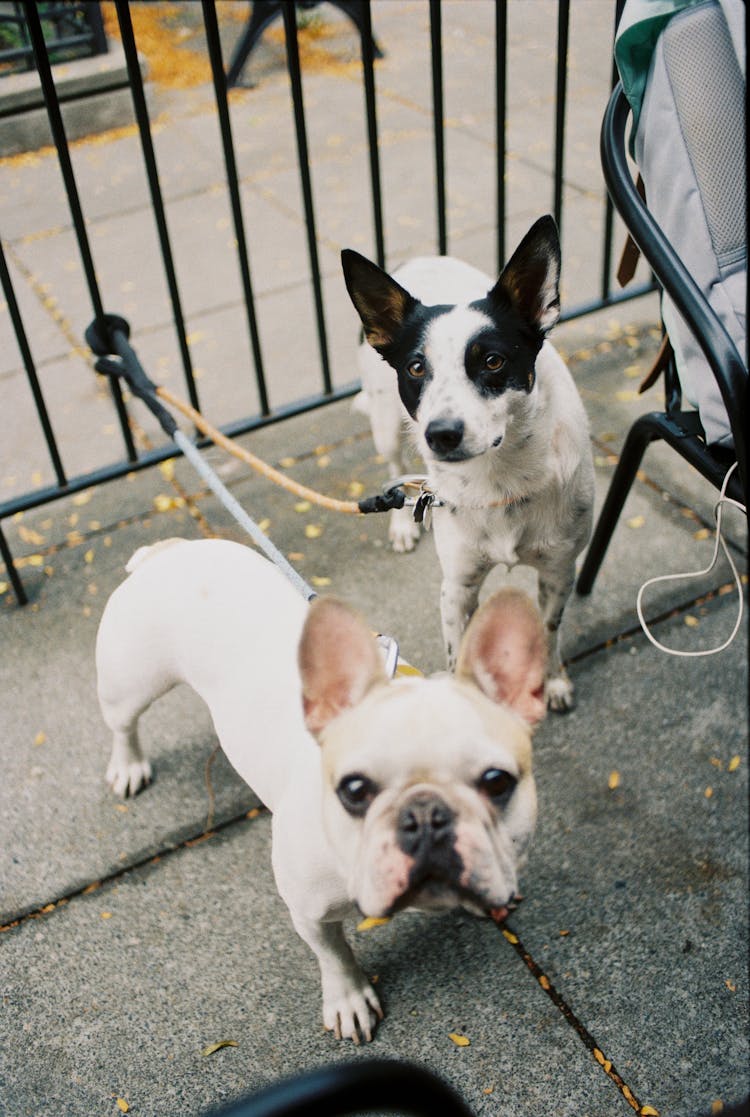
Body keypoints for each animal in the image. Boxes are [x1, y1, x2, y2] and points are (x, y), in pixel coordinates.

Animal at [344, 213, 594, 710]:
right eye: (416, 368)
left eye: (493, 361)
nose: (440, 434)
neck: (500, 477)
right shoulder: (457, 587)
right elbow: (456, 652)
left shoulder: (560, 571)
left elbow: (549, 629)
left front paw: (553, 679)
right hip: (385, 424)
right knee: (392, 469)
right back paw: (401, 525)